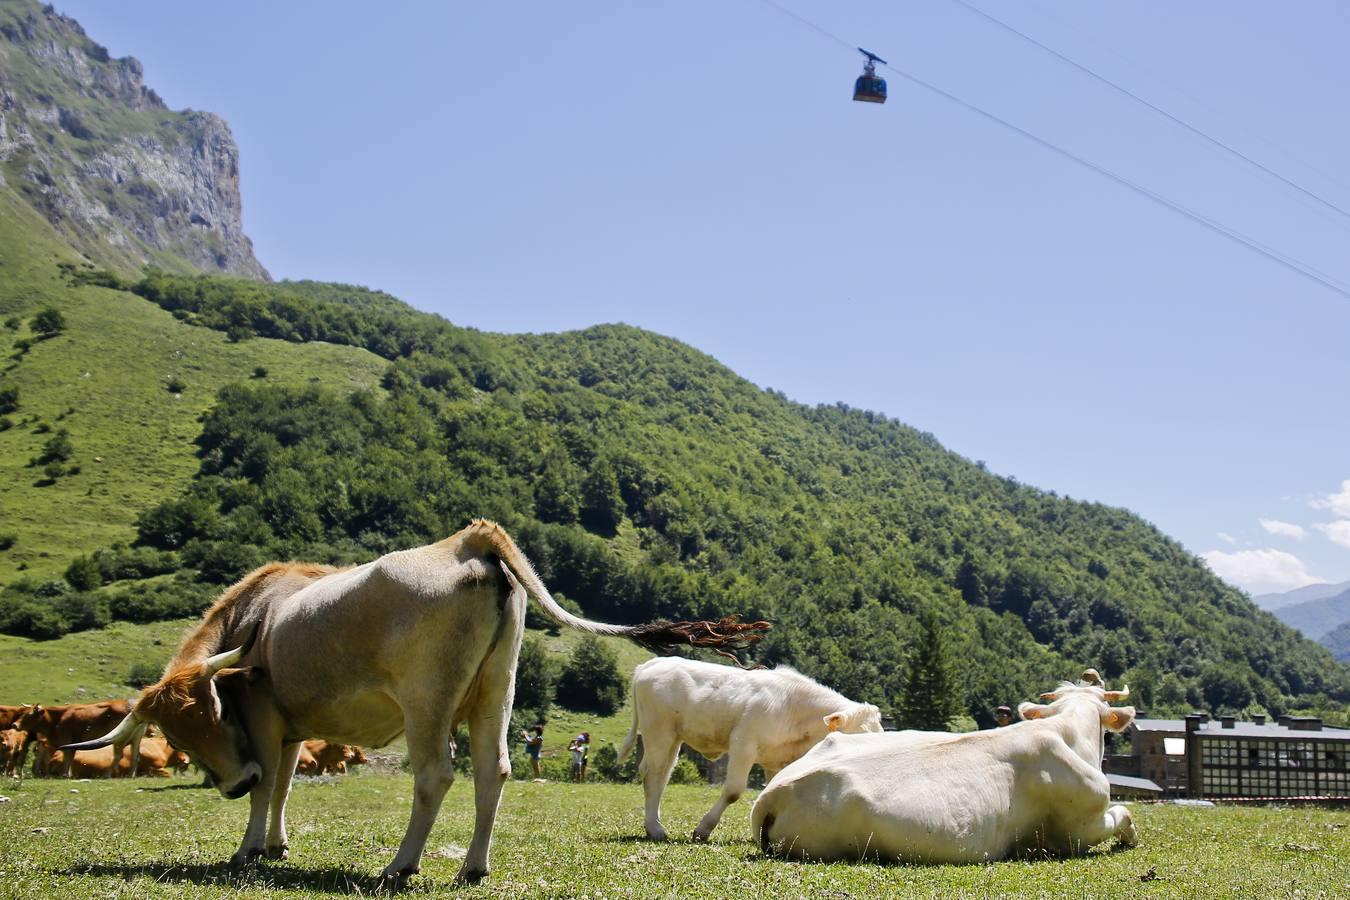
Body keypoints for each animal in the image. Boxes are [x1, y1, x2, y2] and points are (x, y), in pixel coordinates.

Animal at [65, 520, 772, 885]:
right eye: (178, 736)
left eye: (206, 718)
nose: (230, 783)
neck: (258, 614)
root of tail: (468, 540)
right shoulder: (291, 727)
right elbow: (285, 783)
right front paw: (274, 846)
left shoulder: (265, 714)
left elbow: (271, 785)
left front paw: (246, 849)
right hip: (496, 693)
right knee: (494, 771)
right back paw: (473, 869)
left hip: (427, 702)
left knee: (435, 776)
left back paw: (401, 865)